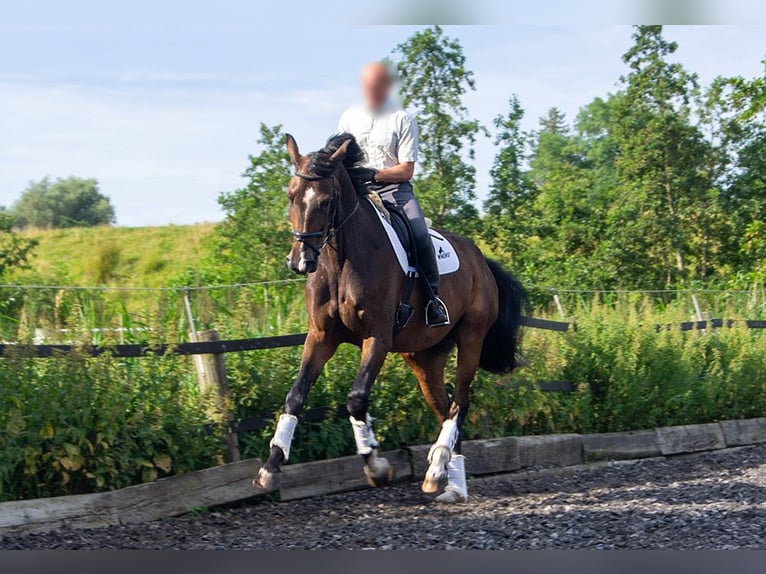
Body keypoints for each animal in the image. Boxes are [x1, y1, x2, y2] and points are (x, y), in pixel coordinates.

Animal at [255, 135, 524, 504]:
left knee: (460, 403)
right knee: (444, 409)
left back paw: (439, 468)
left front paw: (376, 465)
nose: (300, 262)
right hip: (423, 358)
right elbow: (296, 396)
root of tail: (480, 259)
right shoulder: (321, 336)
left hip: (471, 338)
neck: (340, 261)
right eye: (291, 195)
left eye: (326, 201)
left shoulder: (378, 337)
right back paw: (449, 482)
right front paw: (270, 468)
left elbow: (356, 398)